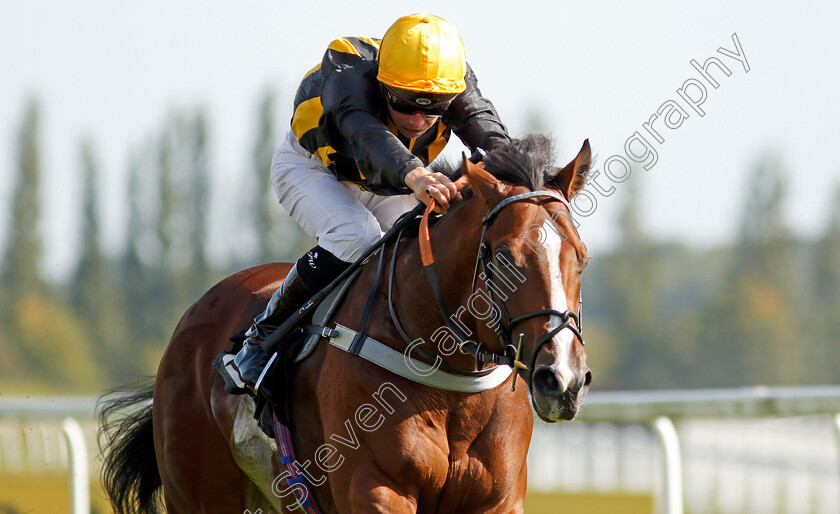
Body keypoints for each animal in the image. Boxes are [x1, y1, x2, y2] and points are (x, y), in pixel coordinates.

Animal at [101, 134, 592, 510]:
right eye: (505, 257)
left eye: (583, 257)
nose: (563, 379)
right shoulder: (375, 489)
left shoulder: (497, 498)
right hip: (201, 491)